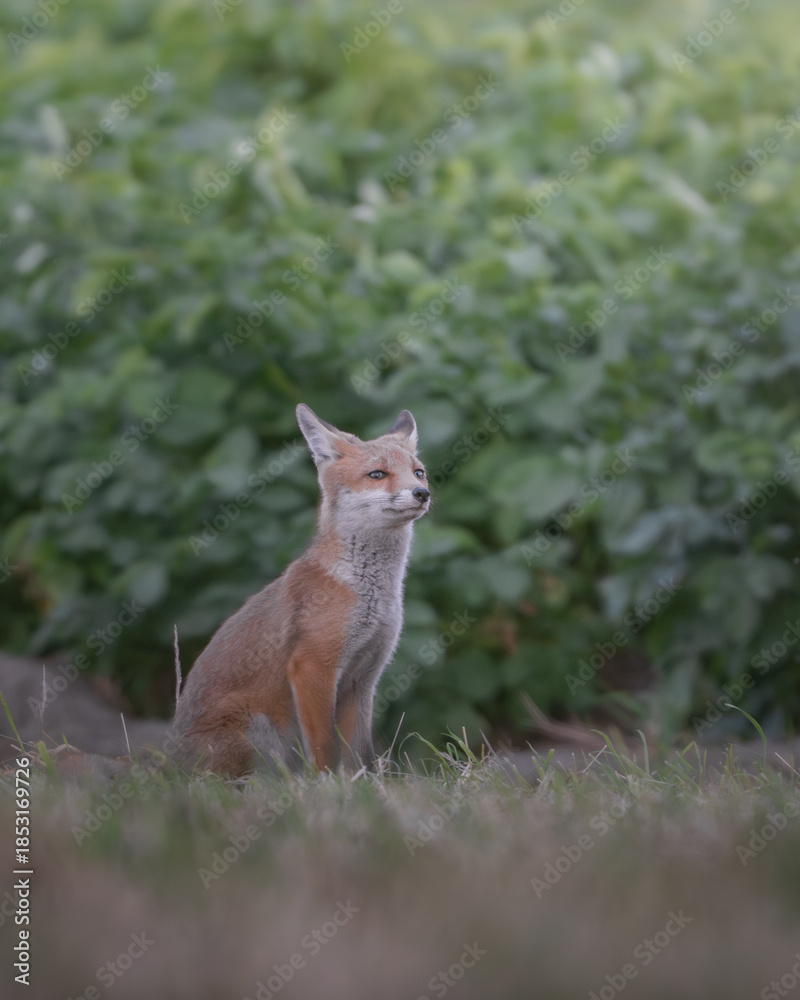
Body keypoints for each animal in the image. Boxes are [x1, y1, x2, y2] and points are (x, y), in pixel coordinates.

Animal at [172, 404, 430, 777]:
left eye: (419, 473)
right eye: (377, 474)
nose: (422, 493)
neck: (370, 594)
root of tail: (164, 762)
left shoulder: (362, 679)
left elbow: (361, 755)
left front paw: (364, 788)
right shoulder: (312, 665)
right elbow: (325, 747)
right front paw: (329, 786)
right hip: (257, 734)